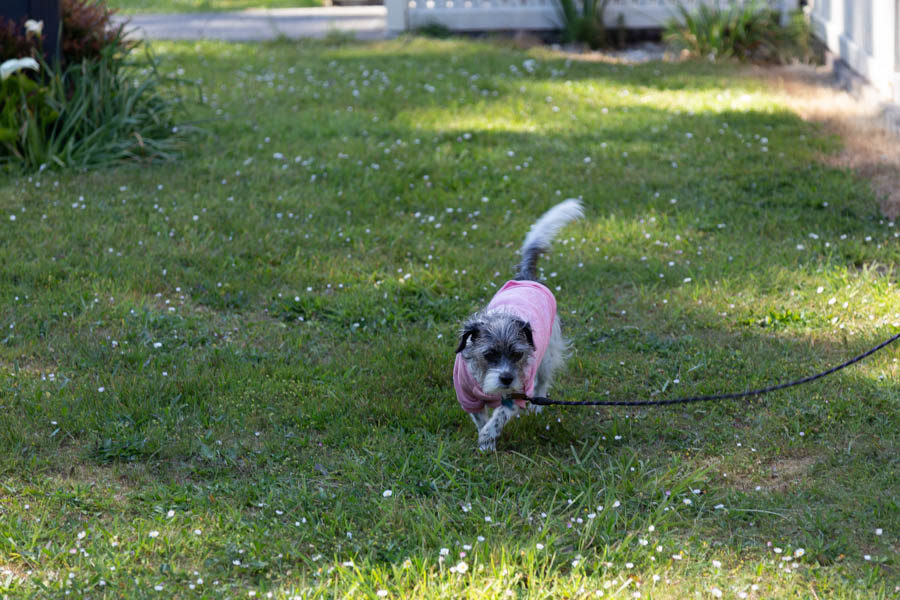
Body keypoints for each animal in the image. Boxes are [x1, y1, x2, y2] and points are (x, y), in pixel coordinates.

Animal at [454, 199, 588, 452]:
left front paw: (487, 437)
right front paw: (484, 441)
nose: (507, 378)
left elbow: (499, 416)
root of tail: (525, 278)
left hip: (547, 356)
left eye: (517, 354)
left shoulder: (517, 394)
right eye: (489, 354)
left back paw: (537, 407)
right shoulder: (468, 397)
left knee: (542, 382)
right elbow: (481, 418)